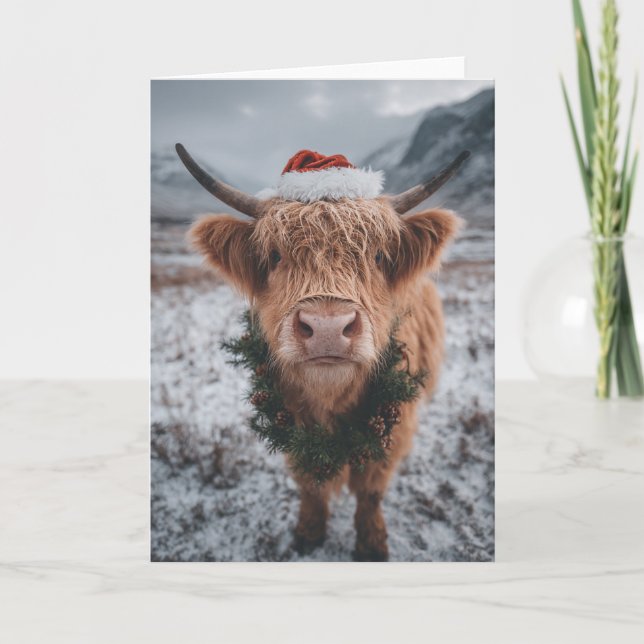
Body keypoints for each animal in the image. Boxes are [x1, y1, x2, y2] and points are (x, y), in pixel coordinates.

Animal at [175, 143, 468, 561]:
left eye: (378, 256)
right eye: (276, 255)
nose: (328, 329)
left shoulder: (393, 430)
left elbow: (370, 489)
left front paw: (371, 544)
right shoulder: (291, 421)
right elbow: (308, 483)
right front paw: (308, 533)